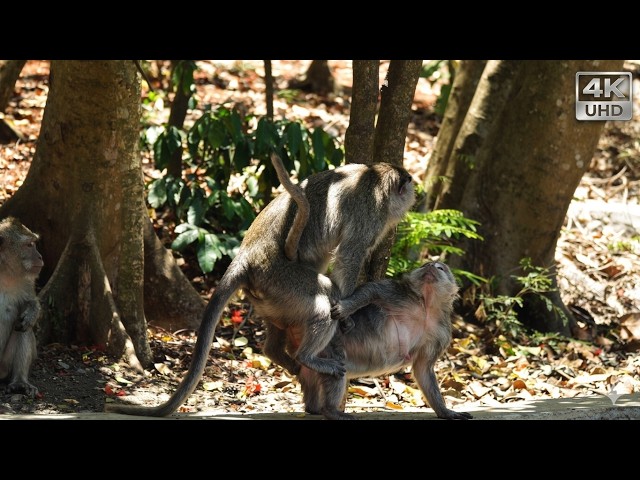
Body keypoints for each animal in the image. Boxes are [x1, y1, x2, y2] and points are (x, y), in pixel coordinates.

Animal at [106, 155, 416, 416]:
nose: (414, 194)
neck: (375, 177)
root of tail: (246, 255)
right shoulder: (371, 214)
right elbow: (348, 258)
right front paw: (348, 308)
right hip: (278, 276)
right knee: (321, 299)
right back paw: (307, 356)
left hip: (270, 292)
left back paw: (277, 353)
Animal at [282, 261, 472, 420]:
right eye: (425, 265)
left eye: (440, 268)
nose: (431, 266)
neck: (426, 306)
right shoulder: (399, 295)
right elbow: (374, 290)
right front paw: (346, 308)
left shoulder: (441, 332)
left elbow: (423, 369)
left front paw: (445, 411)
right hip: (327, 341)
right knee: (336, 362)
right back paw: (330, 409)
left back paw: (315, 408)